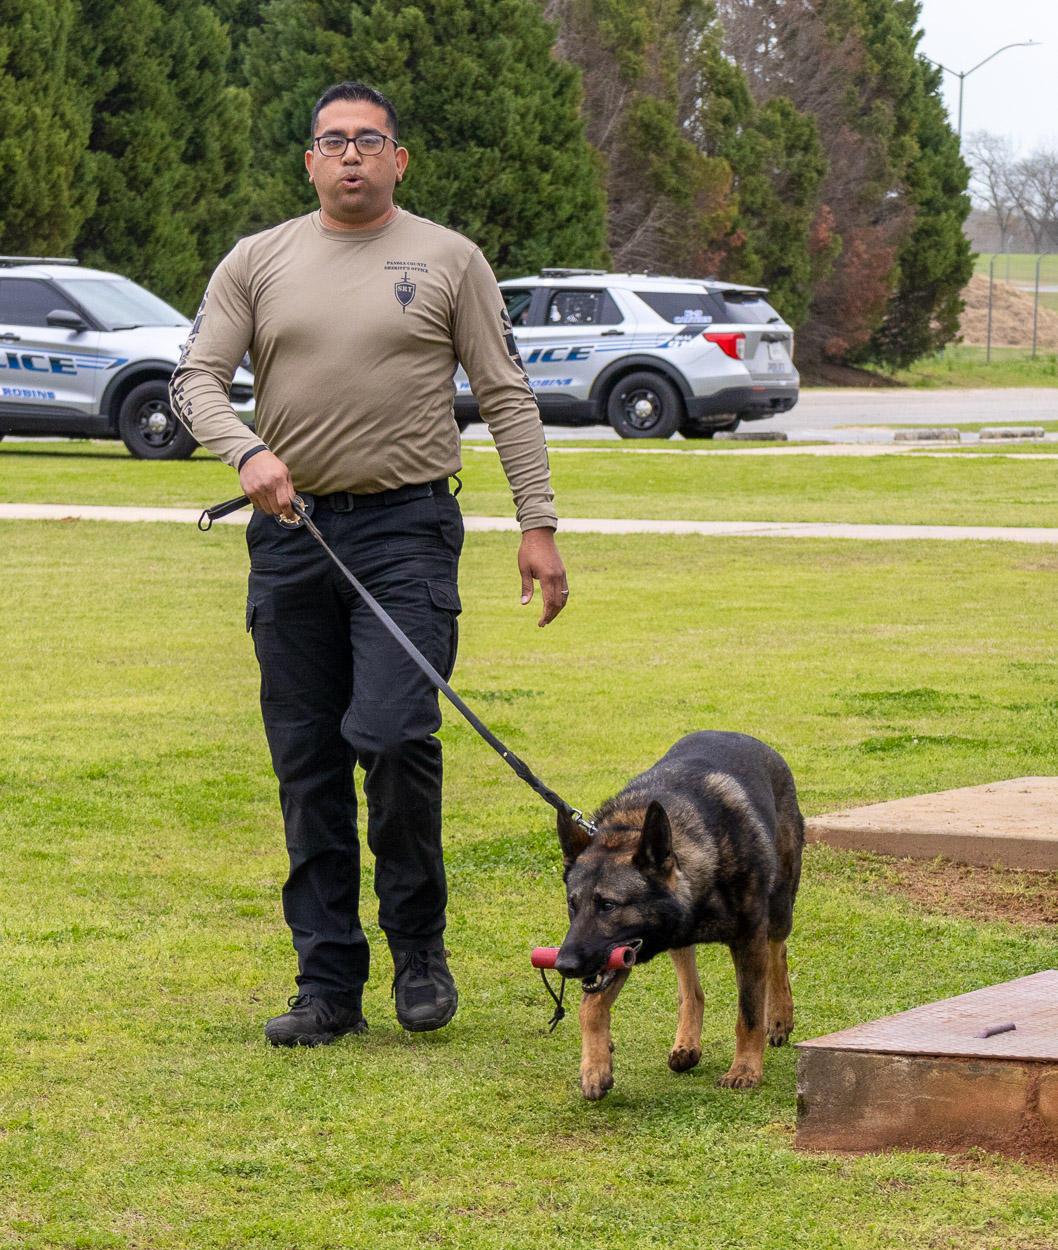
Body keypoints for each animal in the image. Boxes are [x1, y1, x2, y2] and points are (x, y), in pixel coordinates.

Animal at [554, 730, 804, 1100]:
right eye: (573, 904)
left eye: (608, 905)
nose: (563, 965)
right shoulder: (625, 951)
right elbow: (590, 1007)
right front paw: (595, 1066)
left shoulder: (749, 939)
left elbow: (748, 1013)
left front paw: (745, 1069)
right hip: (676, 941)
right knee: (691, 992)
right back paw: (687, 1042)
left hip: (779, 904)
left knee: (778, 950)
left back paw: (779, 1016)